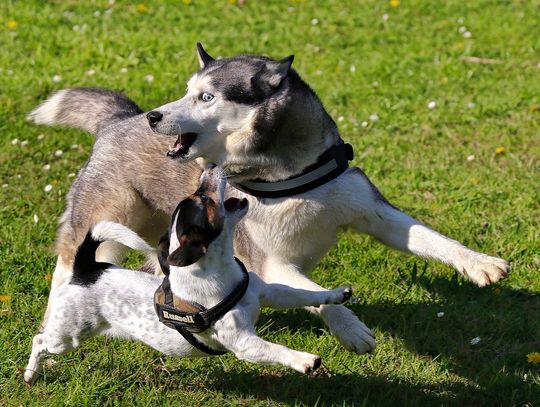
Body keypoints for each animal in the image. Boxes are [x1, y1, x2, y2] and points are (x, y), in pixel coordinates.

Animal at [23, 164, 352, 384]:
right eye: (203, 199)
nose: (211, 167)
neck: (222, 275)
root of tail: (87, 269)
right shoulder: (245, 344)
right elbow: (277, 349)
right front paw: (305, 360)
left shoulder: (268, 292)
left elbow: (303, 294)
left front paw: (337, 294)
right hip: (67, 336)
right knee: (39, 342)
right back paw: (29, 374)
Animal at [28, 44, 510, 356]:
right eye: (187, 91)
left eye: (206, 96)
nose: (155, 116)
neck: (290, 177)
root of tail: (119, 118)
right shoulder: (271, 262)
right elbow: (315, 294)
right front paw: (351, 328)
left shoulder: (372, 211)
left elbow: (427, 238)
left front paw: (478, 263)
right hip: (104, 222)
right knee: (69, 267)